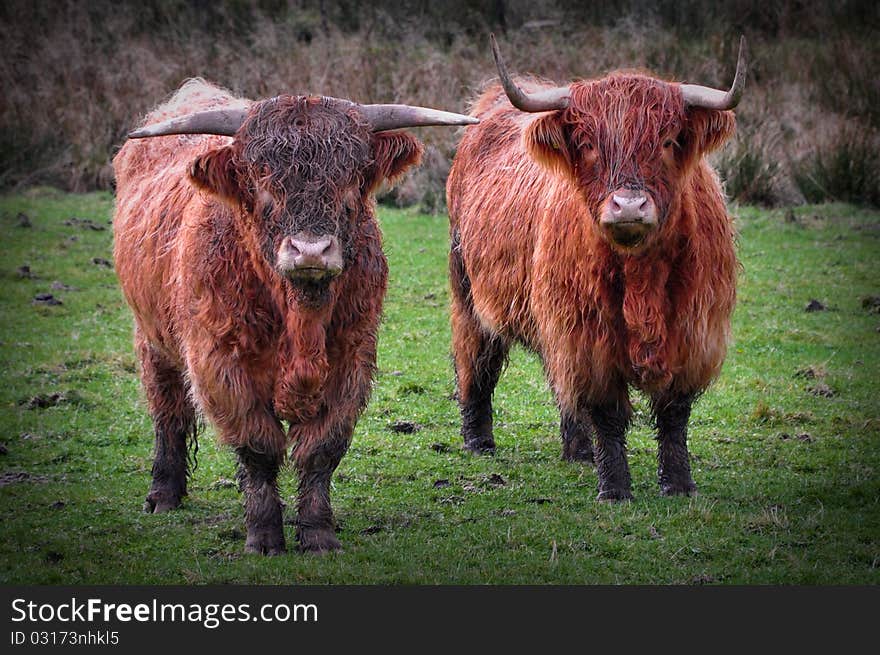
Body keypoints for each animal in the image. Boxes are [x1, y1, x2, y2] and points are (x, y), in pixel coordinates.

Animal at [116, 79, 478, 556]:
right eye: (261, 182)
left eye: (350, 183)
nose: (310, 251)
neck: (300, 318)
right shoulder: (220, 361)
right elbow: (258, 447)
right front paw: (264, 535)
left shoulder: (351, 358)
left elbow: (321, 448)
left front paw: (319, 533)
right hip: (151, 336)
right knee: (168, 410)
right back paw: (163, 493)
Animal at [446, 36, 744, 500]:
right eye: (587, 144)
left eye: (668, 140)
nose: (629, 206)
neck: (642, 276)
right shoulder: (587, 334)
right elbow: (606, 410)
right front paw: (615, 488)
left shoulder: (695, 330)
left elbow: (674, 413)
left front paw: (678, 483)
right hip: (469, 293)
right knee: (477, 362)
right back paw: (479, 442)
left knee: (558, 382)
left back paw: (578, 450)